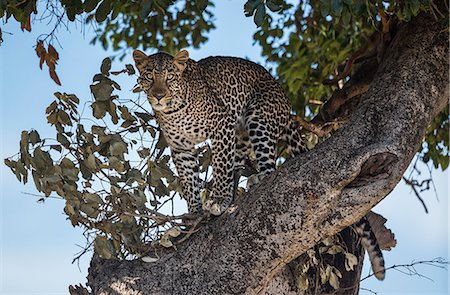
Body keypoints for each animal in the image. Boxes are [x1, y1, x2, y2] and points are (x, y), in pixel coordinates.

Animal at [132, 49, 384, 280]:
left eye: (169, 78)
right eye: (149, 77)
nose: (158, 96)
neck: (173, 111)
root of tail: (282, 95)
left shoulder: (222, 124)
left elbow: (221, 165)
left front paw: (220, 200)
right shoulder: (181, 148)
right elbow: (188, 181)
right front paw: (194, 213)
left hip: (258, 119)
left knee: (268, 167)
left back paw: (257, 180)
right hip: (241, 135)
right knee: (239, 164)